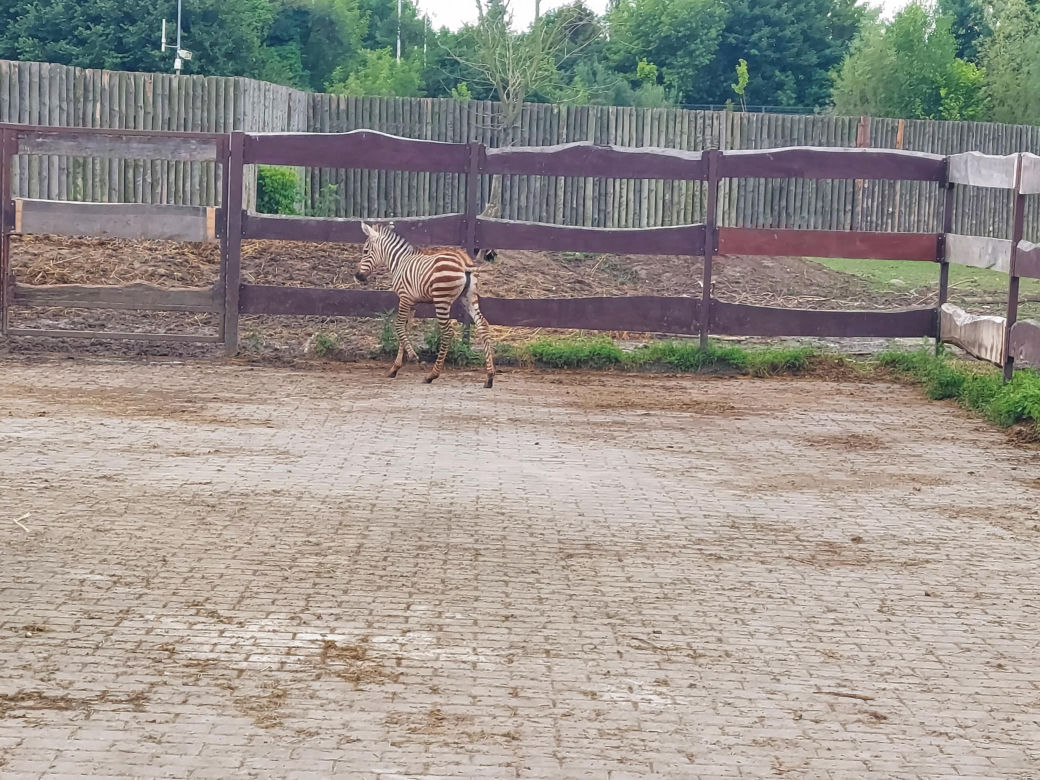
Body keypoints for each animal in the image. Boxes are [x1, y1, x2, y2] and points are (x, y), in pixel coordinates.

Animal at [355, 221, 496, 388]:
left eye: (365, 251)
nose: (357, 276)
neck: (399, 262)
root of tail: (464, 262)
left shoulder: (404, 298)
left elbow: (399, 327)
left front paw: (415, 358)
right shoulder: (412, 302)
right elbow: (406, 328)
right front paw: (395, 368)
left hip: (441, 300)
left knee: (447, 332)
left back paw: (432, 375)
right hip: (469, 297)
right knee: (483, 325)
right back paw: (489, 376)